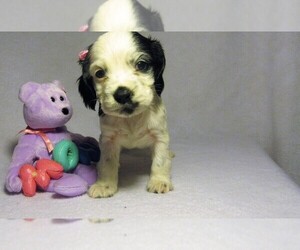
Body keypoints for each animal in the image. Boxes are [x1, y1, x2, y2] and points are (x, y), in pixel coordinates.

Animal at [77, 31, 173, 197]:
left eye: (141, 65)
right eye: (100, 73)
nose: (122, 94)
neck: (132, 119)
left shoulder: (160, 134)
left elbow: (160, 160)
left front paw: (159, 181)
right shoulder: (108, 139)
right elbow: (107, 162)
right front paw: (104, 185)